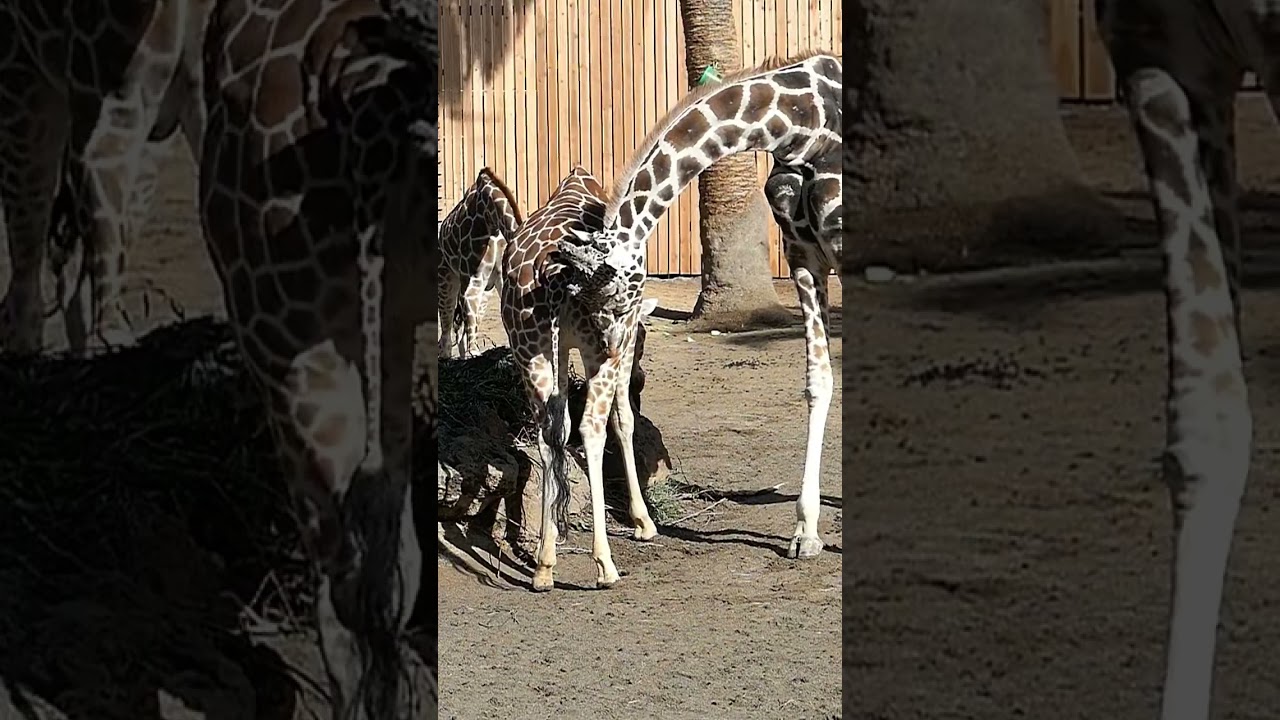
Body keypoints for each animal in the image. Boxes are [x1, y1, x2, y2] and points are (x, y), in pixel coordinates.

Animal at [438, 166, 522, 359]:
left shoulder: (499, 277)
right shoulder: (471, 277)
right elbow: (468, 313)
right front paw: (474, 351)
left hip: (485, 289)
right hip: (446, 278)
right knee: (446, 322)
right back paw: (446, 355)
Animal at [505, 51, 841, 593]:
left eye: (613, 287)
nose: (610, 337)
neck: (804, 120)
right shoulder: (805, 256)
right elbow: (819, 382)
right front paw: (805, 534)